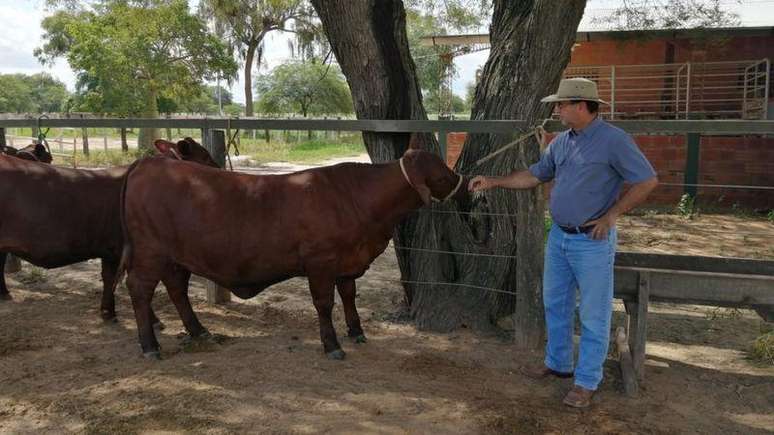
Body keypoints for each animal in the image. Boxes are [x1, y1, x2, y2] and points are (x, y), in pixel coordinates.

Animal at [115, 148, 466, 360]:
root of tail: (149, 163)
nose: (463, 186)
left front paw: (356, 331)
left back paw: (199, 331)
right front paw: (332, 345)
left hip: (174, 257)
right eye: (441, 173)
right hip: (150, 252)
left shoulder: (347, 262)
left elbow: (349, 295)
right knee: (140, 290)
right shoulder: (320, 262)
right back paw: (150, 346)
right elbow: (324, 304)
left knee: (177, 289)